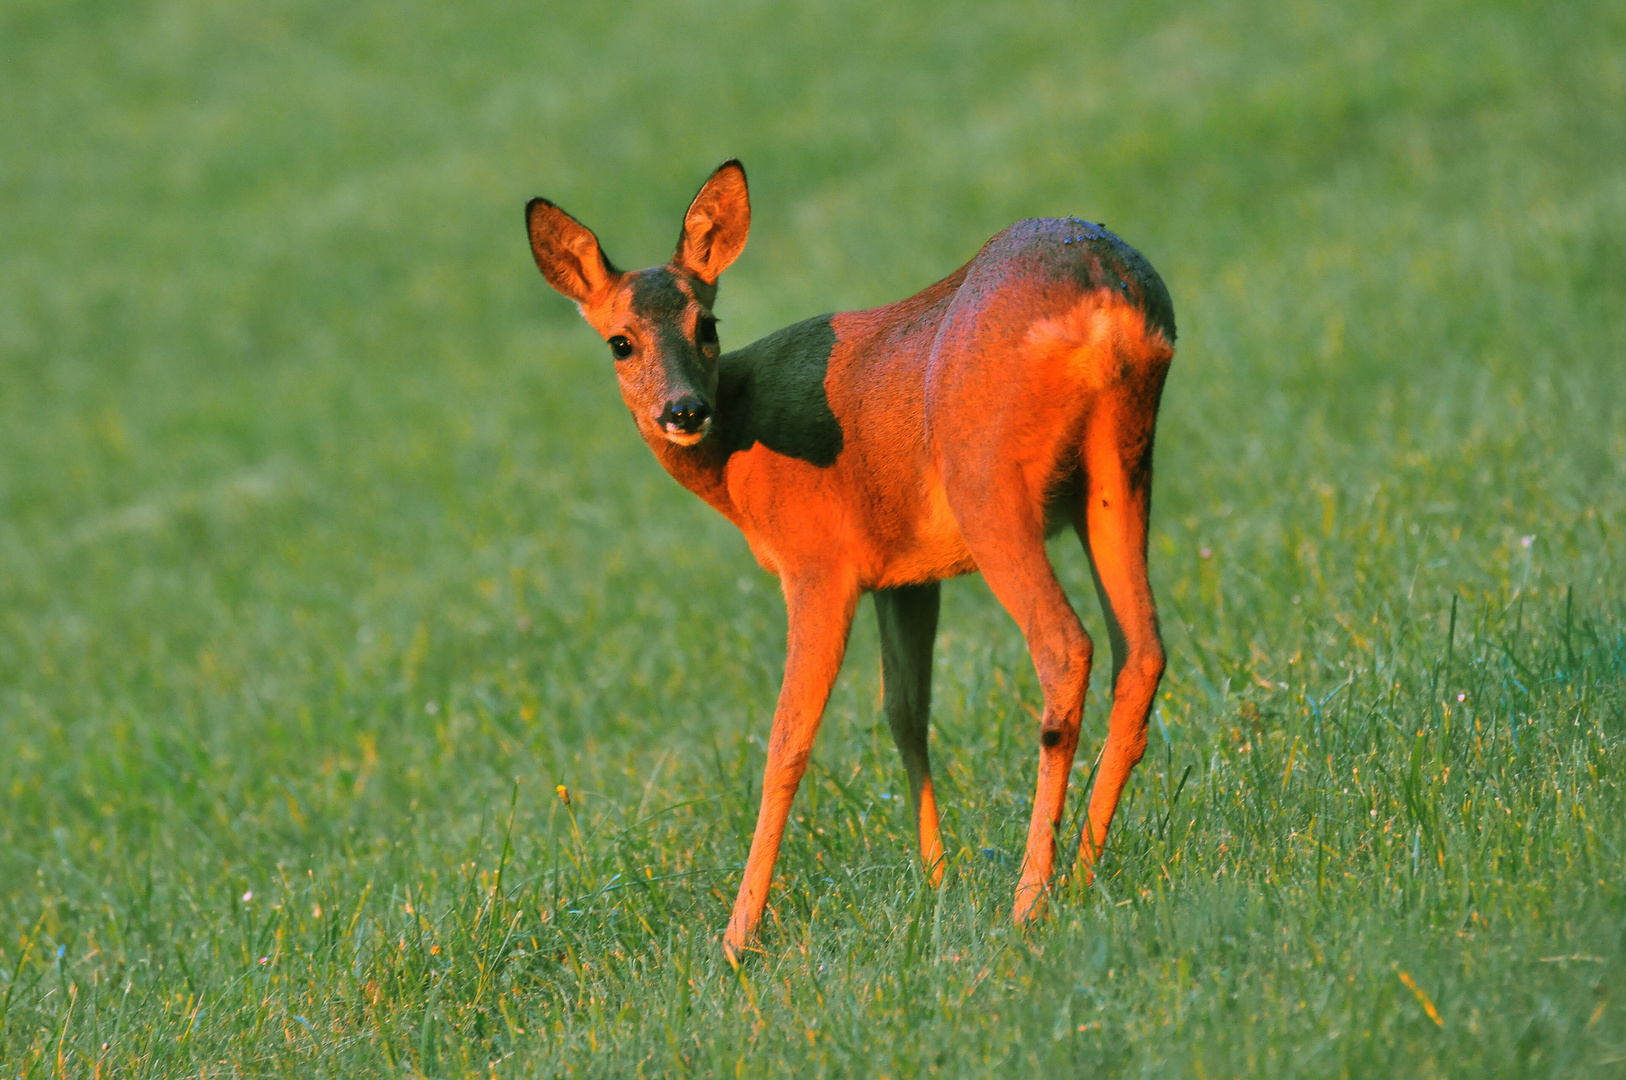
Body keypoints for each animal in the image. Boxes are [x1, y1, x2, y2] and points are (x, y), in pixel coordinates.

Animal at [526, 158, 1177, 956]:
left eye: (706, 325)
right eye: (620, 341)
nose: (682, 411)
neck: (738, 454)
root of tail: (1104, 292)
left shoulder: (818, 565)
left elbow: (787, 742)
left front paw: (736, 939)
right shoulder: (906, 576)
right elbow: (904, 711)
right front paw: (936, 881)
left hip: (988, 481)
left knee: (1064, 646)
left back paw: (1029, 901)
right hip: (1118, 469)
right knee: (1140, 651)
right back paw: (1082, 874)